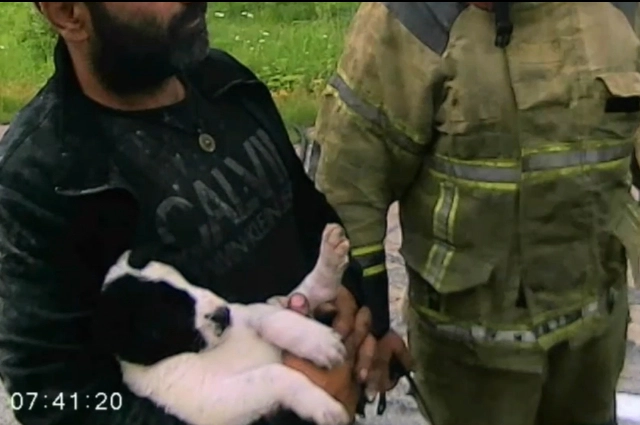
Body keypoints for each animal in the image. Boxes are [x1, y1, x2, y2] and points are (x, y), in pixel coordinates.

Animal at [97, 222, 352, 424]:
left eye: (194, 276)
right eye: (170, 314)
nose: (222, 315)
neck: (210, 351)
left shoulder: (241, 313)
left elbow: (267, 317)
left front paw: (317, 341)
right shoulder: (210, 402)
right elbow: (271, 373)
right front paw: (321, 405)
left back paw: (329, 263)